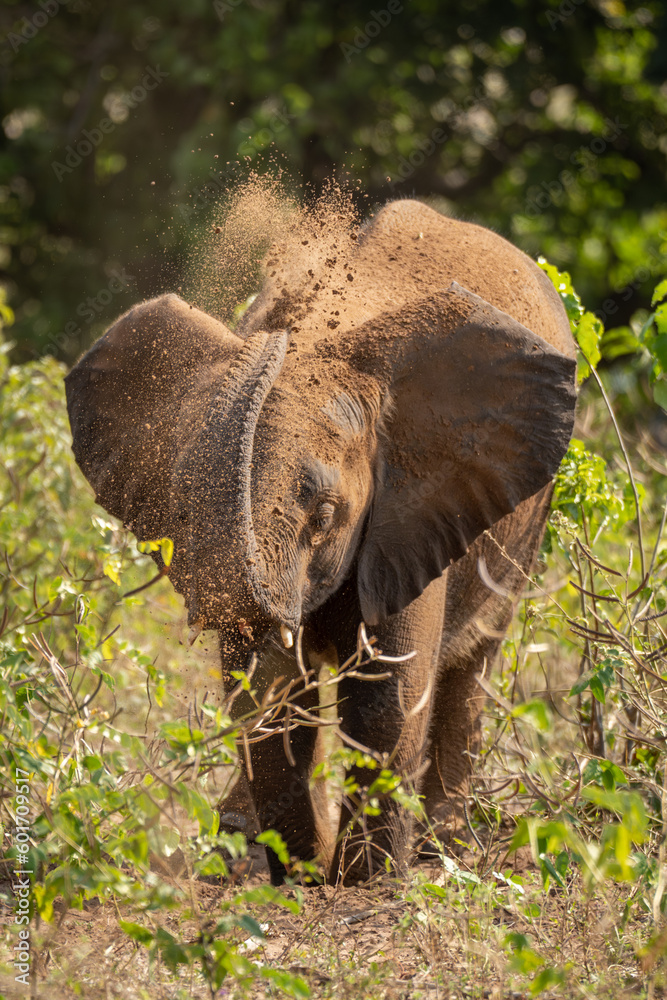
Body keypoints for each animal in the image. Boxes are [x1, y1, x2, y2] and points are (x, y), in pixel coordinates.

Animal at [65, 198, 577, 885]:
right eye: (184, 510)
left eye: (326, 514)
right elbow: (270, 695)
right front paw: (300, 876)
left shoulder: (411, 512)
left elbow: (389, 695)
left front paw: (364, 881)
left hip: (525, 529)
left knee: (473, 664)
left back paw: (443, 856)